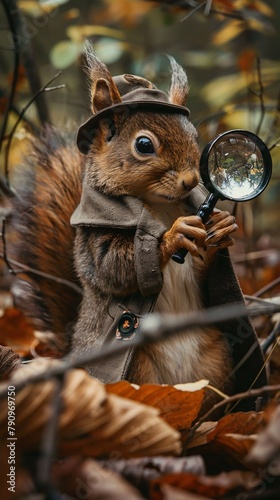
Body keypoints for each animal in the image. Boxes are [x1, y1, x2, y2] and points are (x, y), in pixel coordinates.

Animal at [7, 45, 266, 408]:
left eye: (194, 136)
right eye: (144, 145)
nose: (191, 180)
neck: (161, 205)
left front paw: (223, 226)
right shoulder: (94, 236)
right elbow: (114, 267)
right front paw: (174, 236)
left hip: (216, 363)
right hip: (137, 370)